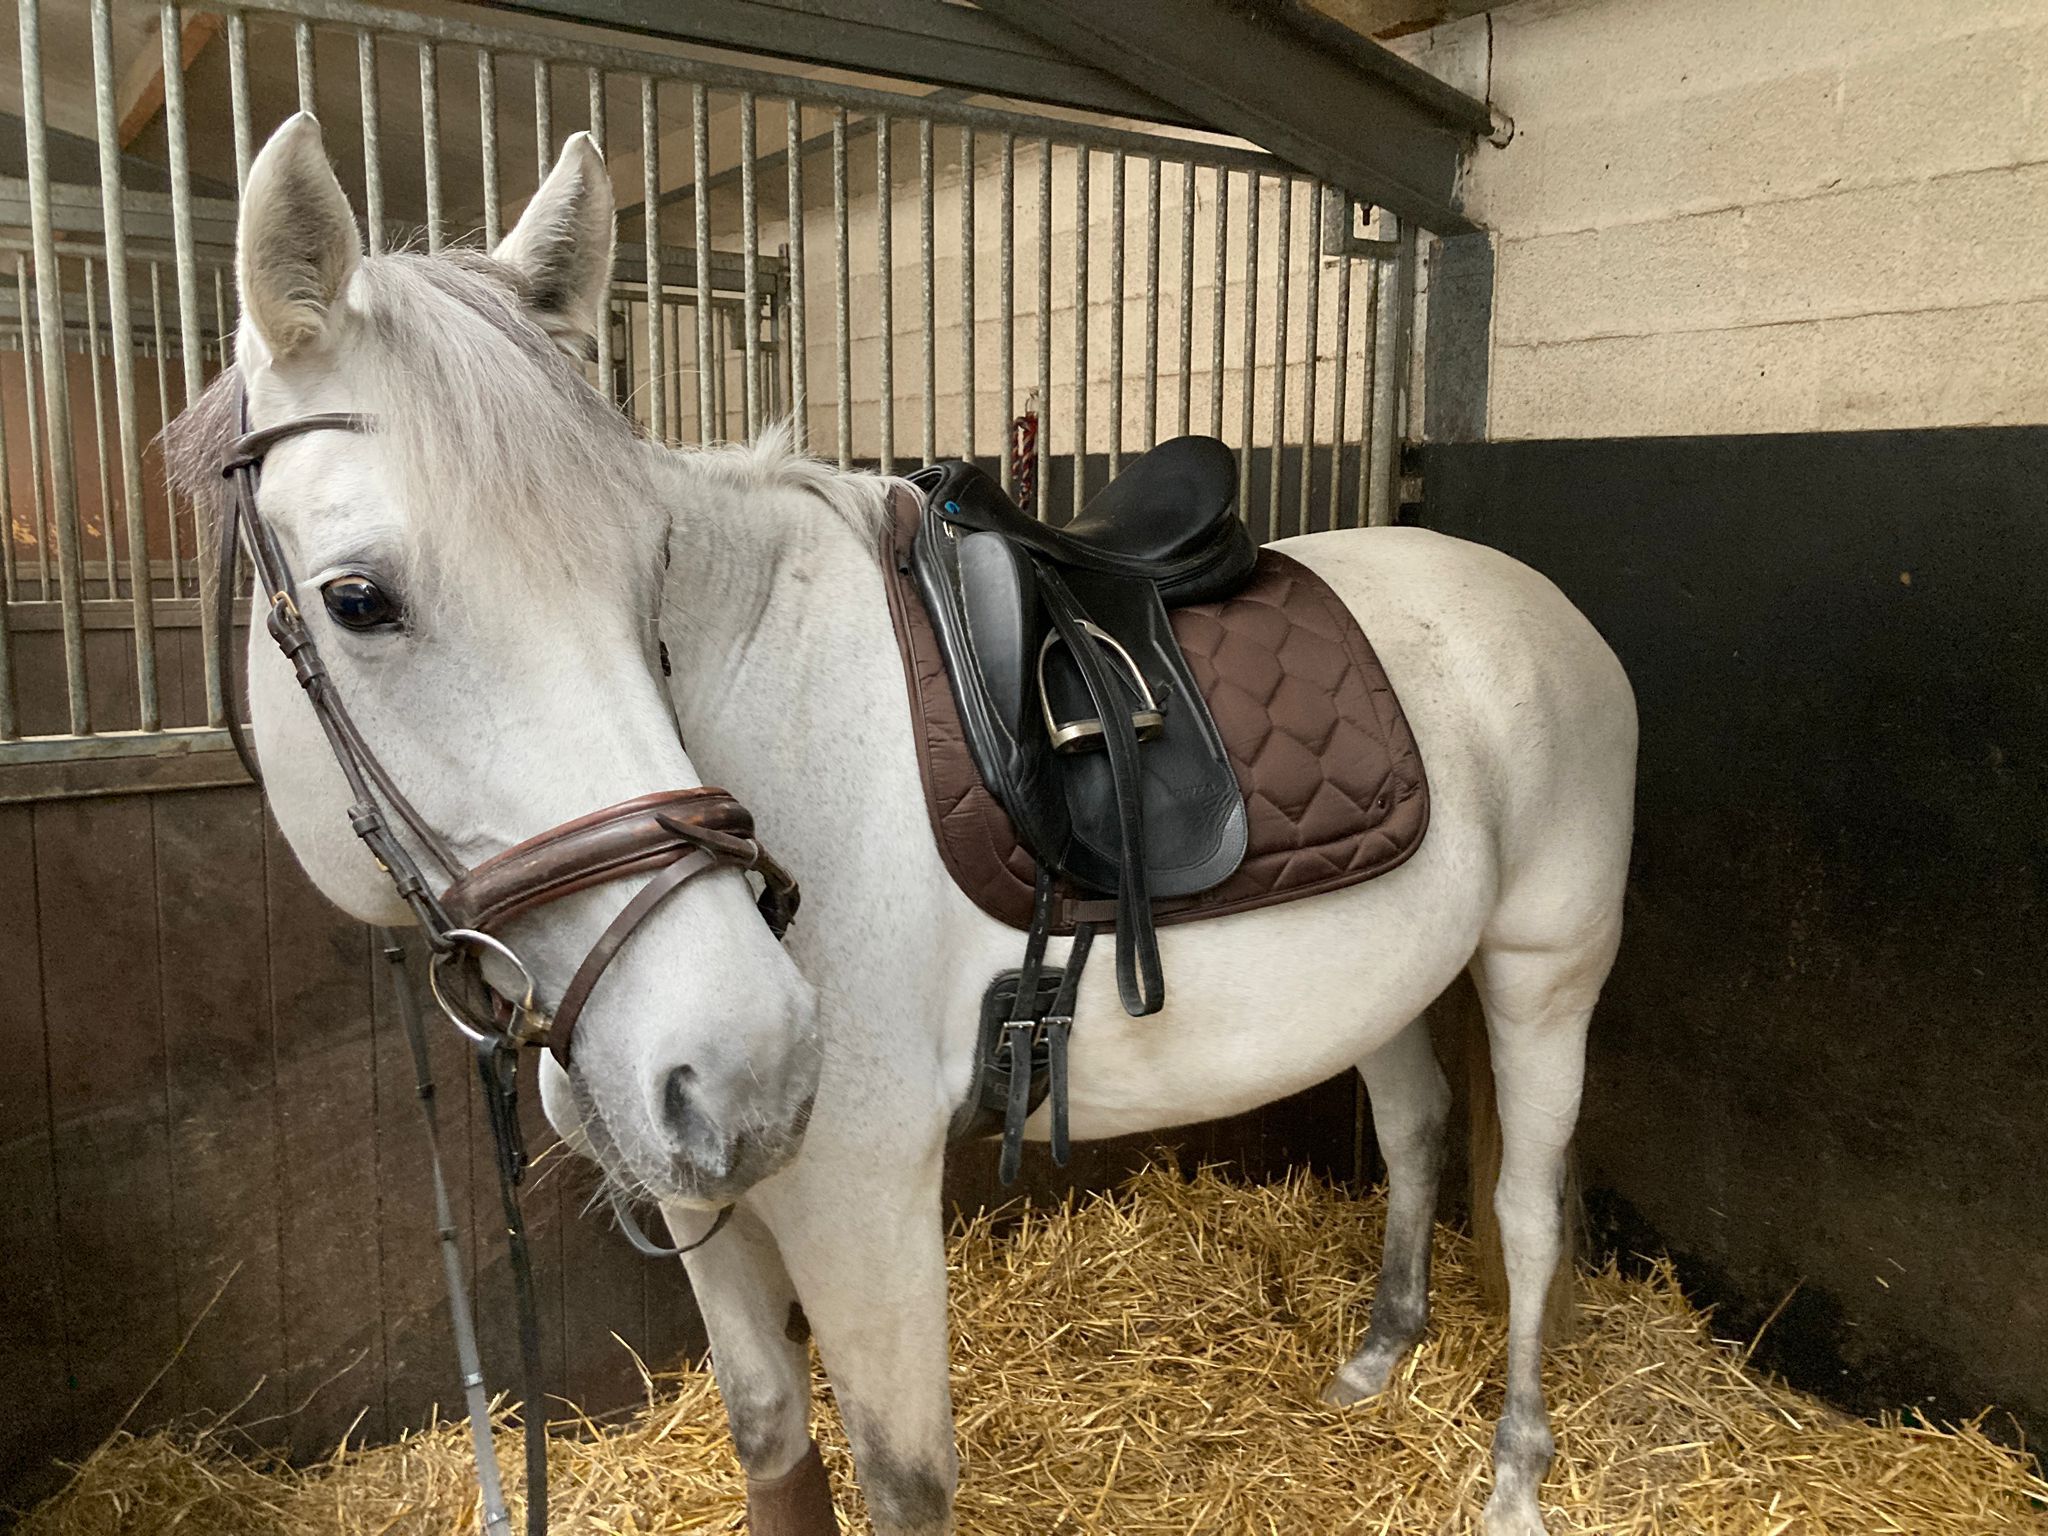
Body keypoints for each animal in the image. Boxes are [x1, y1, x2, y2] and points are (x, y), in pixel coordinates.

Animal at [172, 113, 1638, 1536]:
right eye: (357, 600)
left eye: (649, 573)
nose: (750, 1067)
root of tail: (1541, 608)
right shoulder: (703, 1199)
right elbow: (772, 1446)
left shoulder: (859, 1201)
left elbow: (902, 1483)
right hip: (1389, 986)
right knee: (1416, 1130)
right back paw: (1379, 1355)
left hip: (1542, 972)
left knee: (1522, 1211)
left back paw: (1515, 1472)